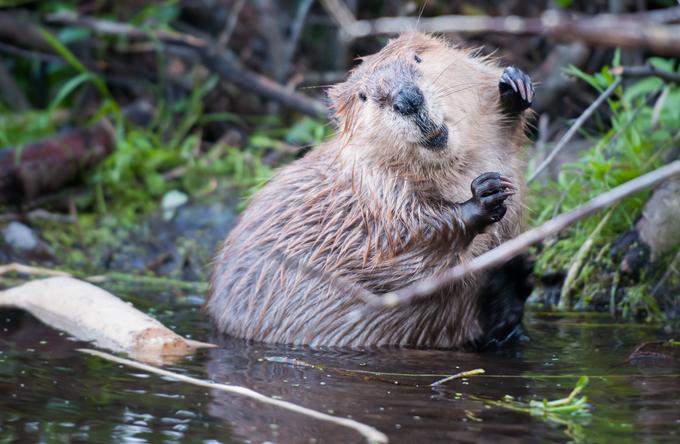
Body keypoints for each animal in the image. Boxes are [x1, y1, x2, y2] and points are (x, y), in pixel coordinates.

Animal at [205, 32, 532, 350]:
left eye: (417, 58)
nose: (407, 99)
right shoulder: (375, 193)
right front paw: (483, 195)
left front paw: (514, 86)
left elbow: (504, 134)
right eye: (364, 96)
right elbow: (406, 250)